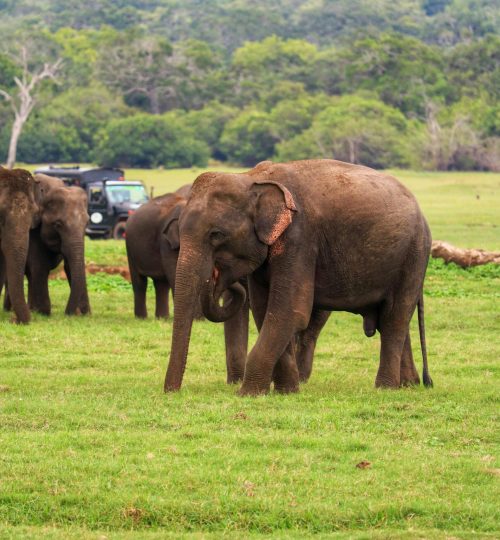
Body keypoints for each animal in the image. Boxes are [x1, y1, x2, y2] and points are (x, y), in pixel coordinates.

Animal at [3, 173, 90, 316]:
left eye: (87, 223)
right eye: (58, 224)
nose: (69, 314)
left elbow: (71, 265)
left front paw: (85, 314)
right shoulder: (33, 231)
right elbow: (39, 265)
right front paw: (43, 313)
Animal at [165, 158, 434, 394]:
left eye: (216, 234)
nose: (172, 392)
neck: (252, 178)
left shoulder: (300, 237)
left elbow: (289, 311)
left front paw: (248, 393)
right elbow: (265, 311)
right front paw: (286, 391)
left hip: (414, 255)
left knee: (395, 317)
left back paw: (385, 388)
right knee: (394, 319)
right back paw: (407, 385)